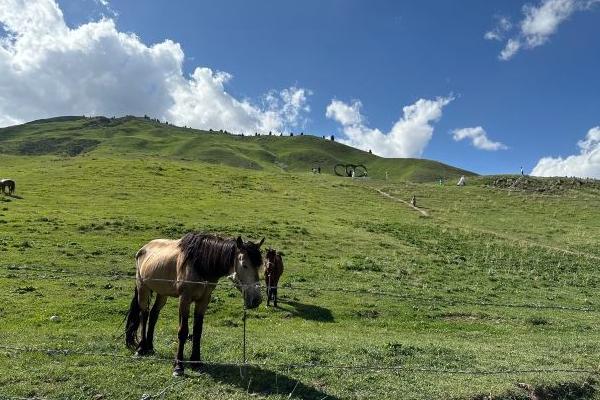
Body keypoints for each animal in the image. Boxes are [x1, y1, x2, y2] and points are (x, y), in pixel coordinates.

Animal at [125, 233, 264, 376]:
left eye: (259, 265)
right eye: (244, 265)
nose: (256, 299)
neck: (200, 265)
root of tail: (144, 248)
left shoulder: (203, 301)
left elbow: (197, 331)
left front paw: (196, 361)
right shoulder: (184, 299)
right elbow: (183, 331)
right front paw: (178, 366)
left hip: (162, 293)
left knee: (153, 315)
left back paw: (150, 347)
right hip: (143, 288)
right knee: (144, 314)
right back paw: (141, 348)